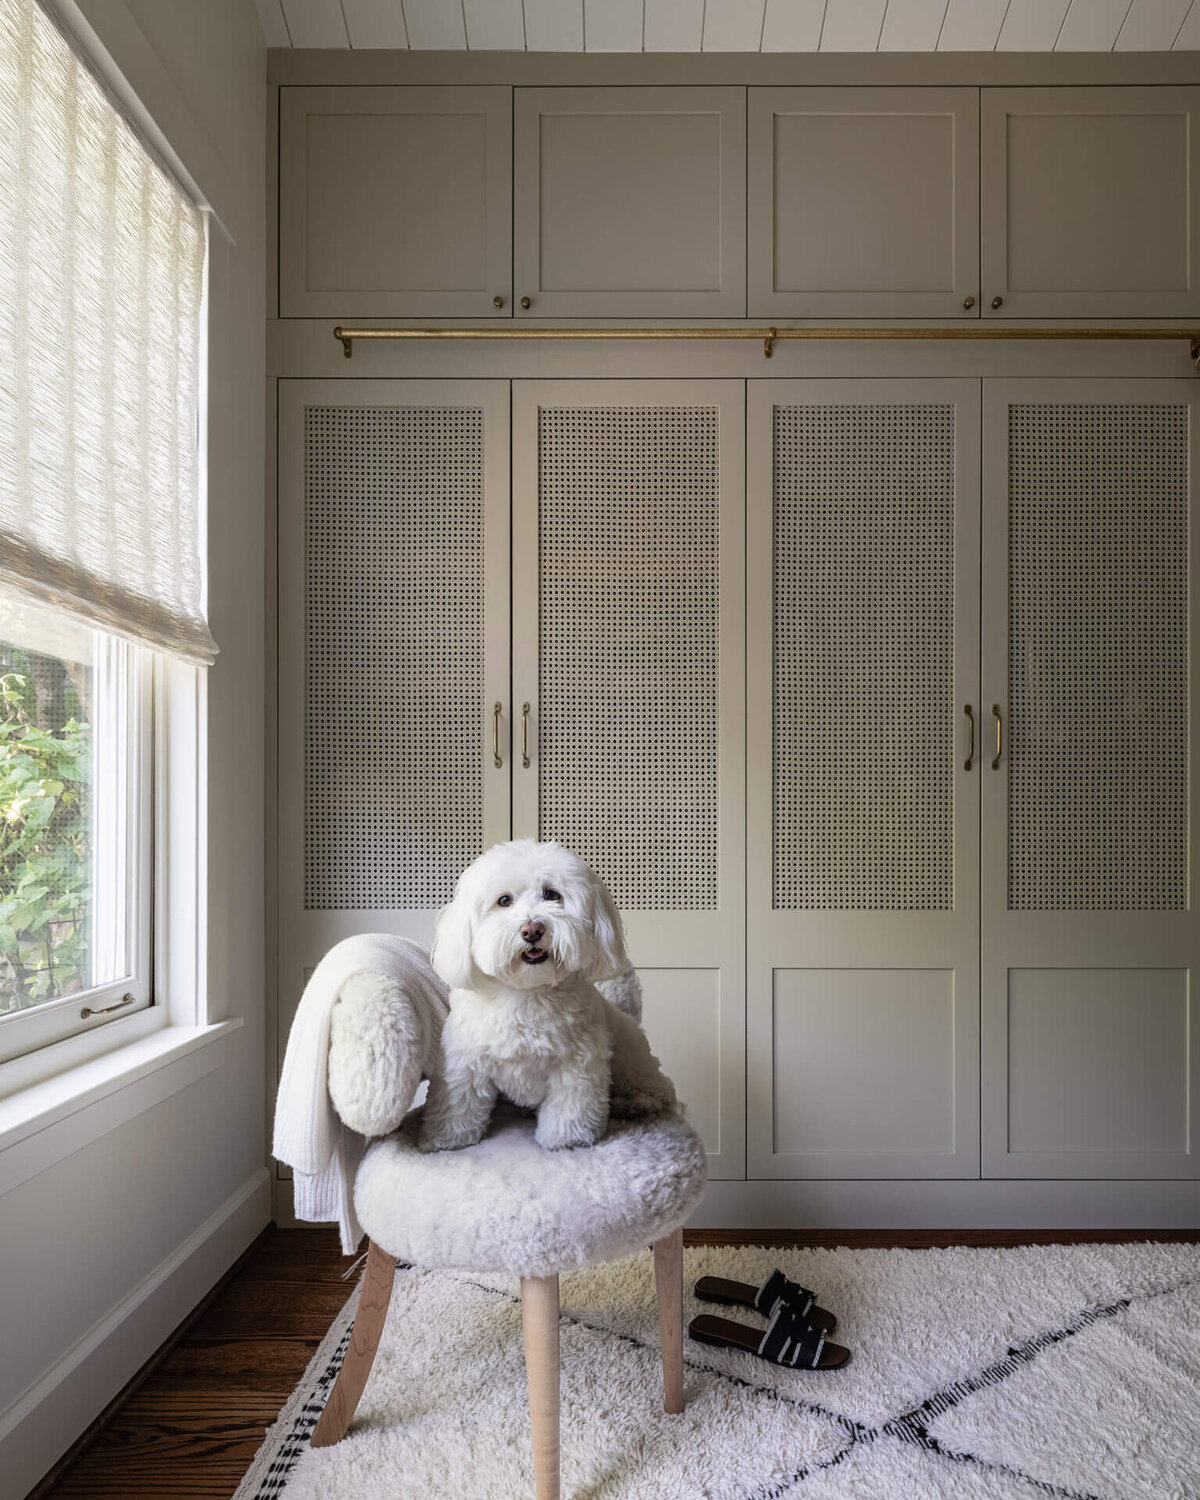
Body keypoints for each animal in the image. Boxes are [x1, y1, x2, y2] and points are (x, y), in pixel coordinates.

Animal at [414, 840, 675, 1152]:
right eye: (504, 900)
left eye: (552, 895)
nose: (532, 929)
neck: (528, 993)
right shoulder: (465, 1060)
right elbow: (458, 1102)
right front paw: (445, 1139)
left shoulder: (577, 1063)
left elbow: (569, 1106)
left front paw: (565, 1140)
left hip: (629, 1053)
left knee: (656, 1084)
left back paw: (637, 1101)